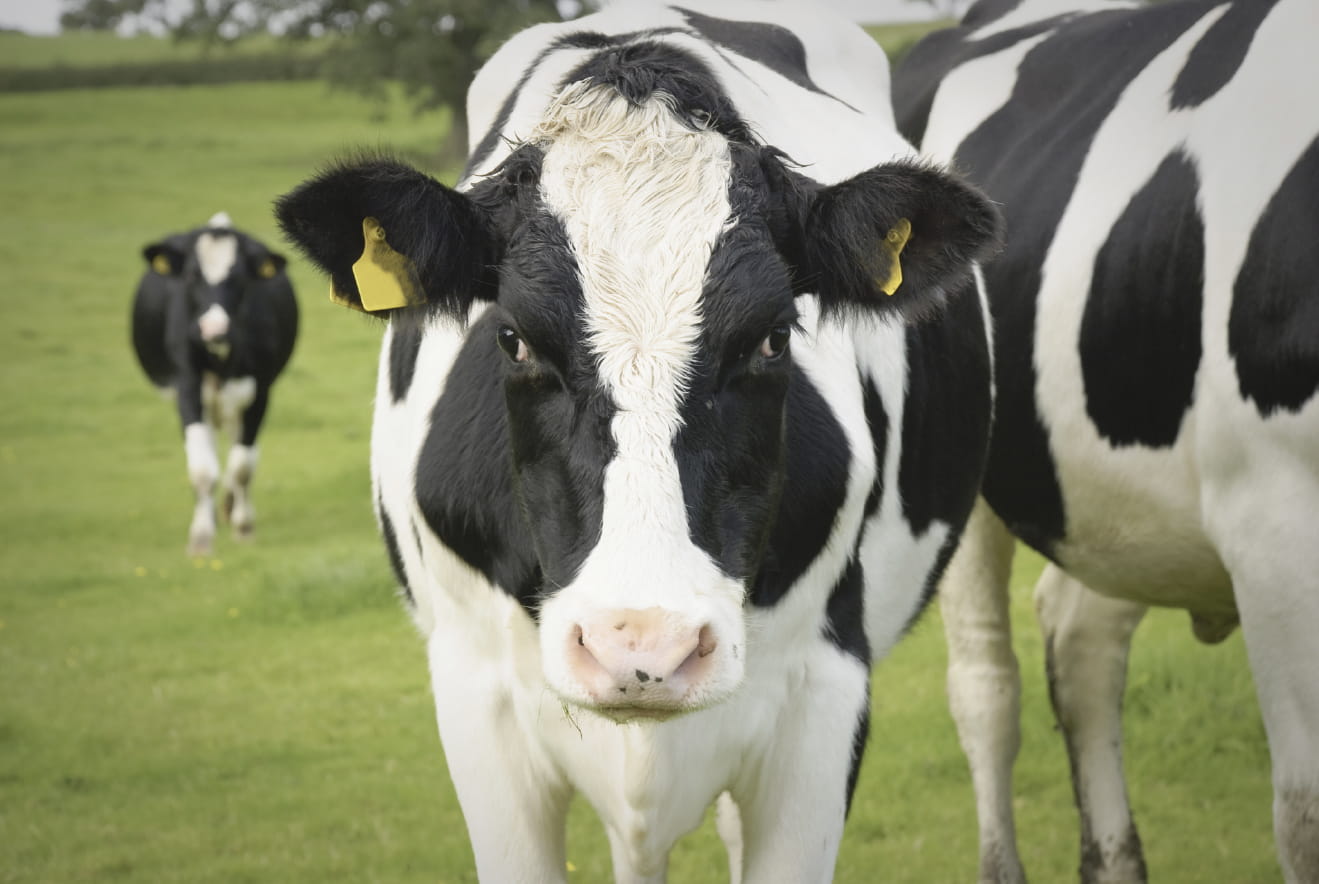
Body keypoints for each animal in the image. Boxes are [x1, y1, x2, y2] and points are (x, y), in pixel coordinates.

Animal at [131, 212, 298, 557]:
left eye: (240, 277)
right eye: (191, 275)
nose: (213, 328)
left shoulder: (260, 391)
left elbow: (242, 467)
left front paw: (244, 527)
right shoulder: (187, 389)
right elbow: (202, 469)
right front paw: (201, 537)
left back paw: (229, 507)